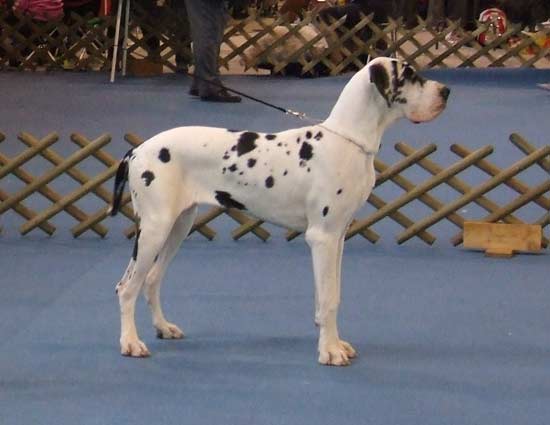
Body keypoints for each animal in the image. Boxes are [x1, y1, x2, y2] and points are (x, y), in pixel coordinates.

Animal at [110, 57, 450, 366]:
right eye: (409, 74)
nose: (446, 91)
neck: (347, 141)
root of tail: (137, 149)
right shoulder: (322, 238)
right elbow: (329, 299)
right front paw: (329, 351)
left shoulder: (338, 237)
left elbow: (332, 295)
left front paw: (334, 341)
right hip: (155, 230)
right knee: (126, 287)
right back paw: (130, 342)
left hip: (179, 225)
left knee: (152, 280)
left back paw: (163, 327)